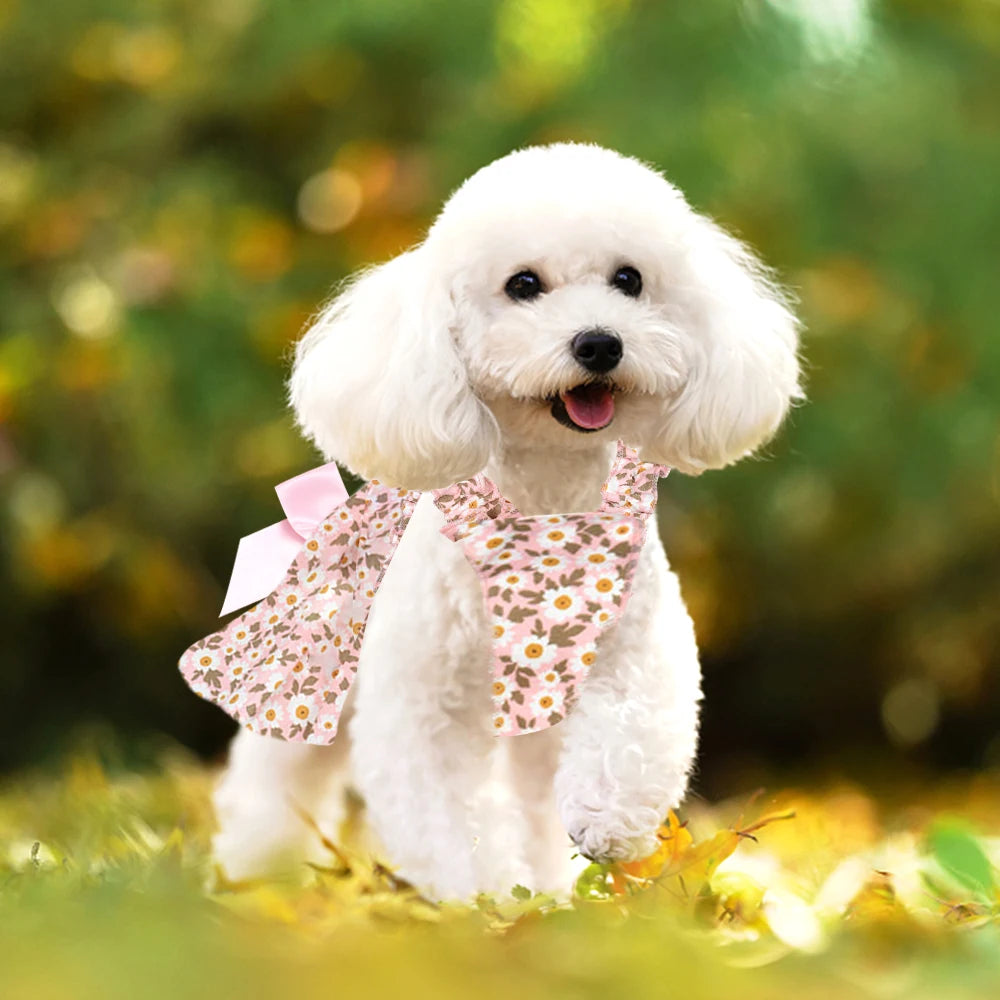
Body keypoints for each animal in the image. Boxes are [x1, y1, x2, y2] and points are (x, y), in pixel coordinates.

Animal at [211, 141, 804, 900]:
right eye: (523, 284)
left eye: (629, 279)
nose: (599, 343)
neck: (544, 505)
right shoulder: (425, 701)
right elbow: (444, 814)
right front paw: (480, 901)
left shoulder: (633, 650)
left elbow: (634, 729)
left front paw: (603, 824)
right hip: (310, 680)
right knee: (276, 778)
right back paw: (255, 878)